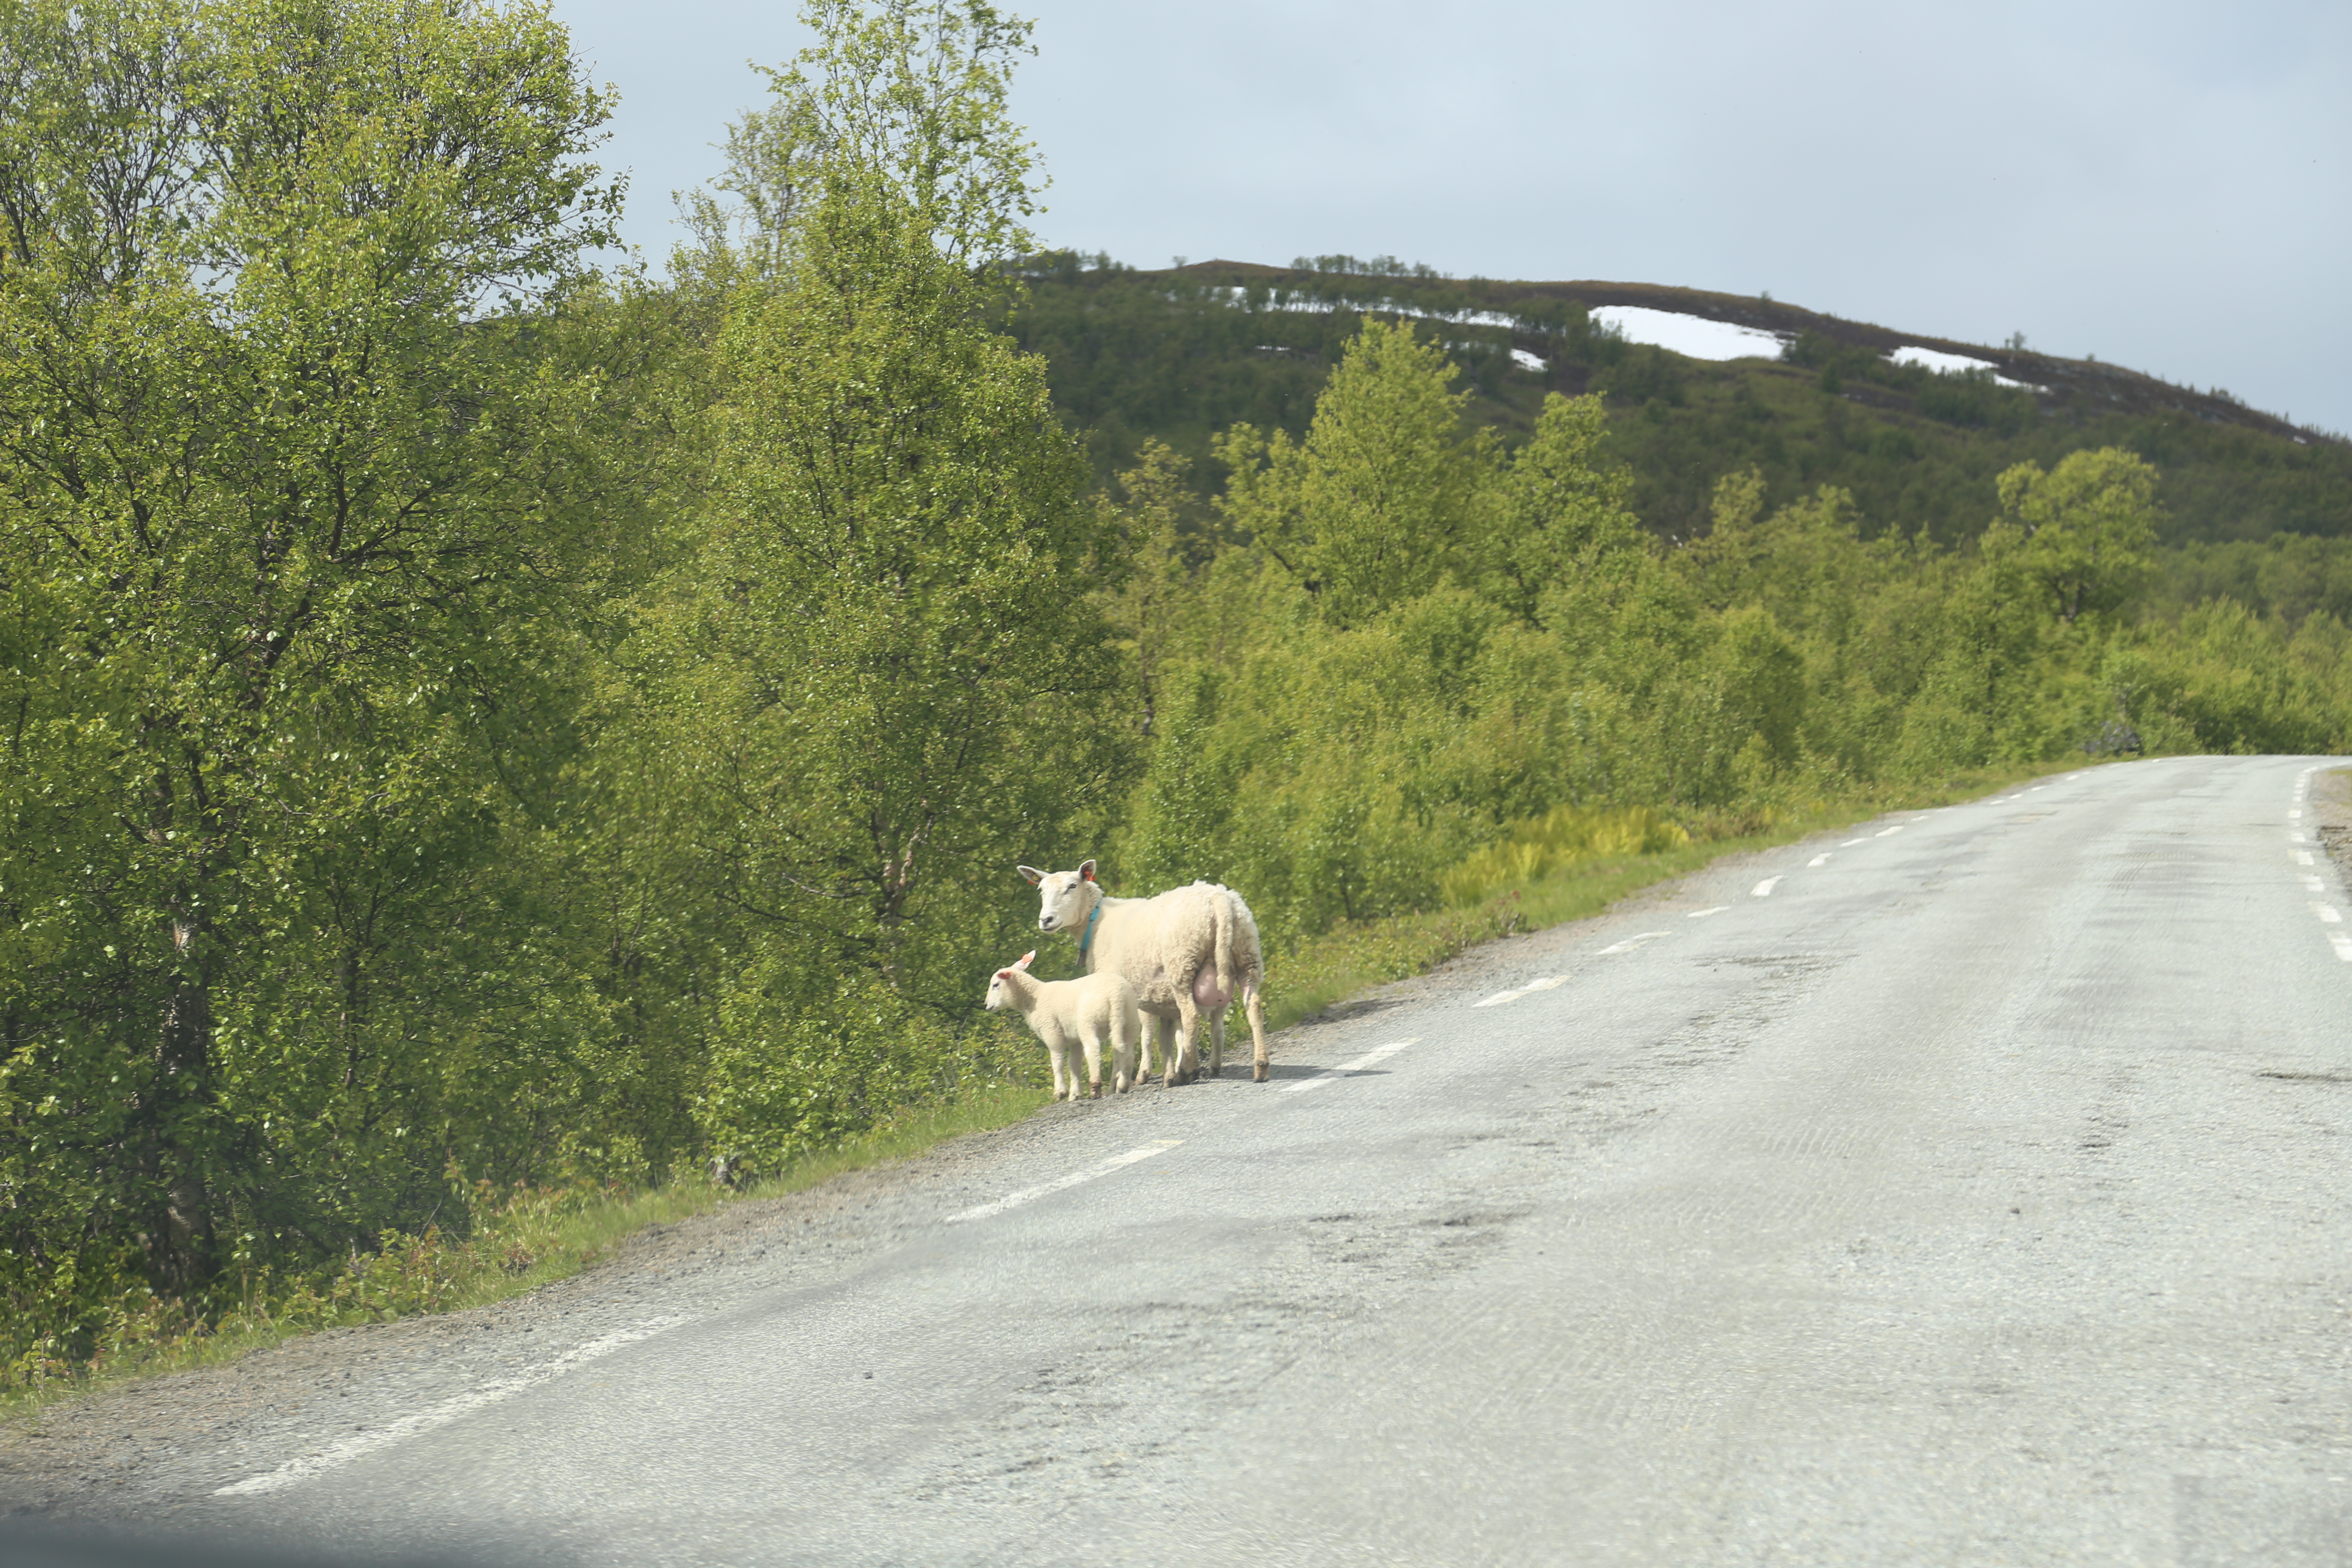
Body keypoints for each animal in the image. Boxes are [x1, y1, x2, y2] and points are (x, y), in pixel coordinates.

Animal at [978, 945, 1143, 1105]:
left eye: (995, 985)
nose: (987, 1005)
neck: (1035, 998)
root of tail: (1116, 995)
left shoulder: (1051, 1031)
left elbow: (1057, 1060)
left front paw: (1060, 1092)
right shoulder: (1075, 1039)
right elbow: (1074, 1064)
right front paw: (1075, 1095)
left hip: (1089, 1021)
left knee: (1093, 1051)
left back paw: (1095, 1088)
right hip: (1130, 1021)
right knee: (1128, 1052)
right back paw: (1122, 1086)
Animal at [1011, 865, 1270, 1086]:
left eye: (1073, 886)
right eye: (1041, 890)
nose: (1046, 920)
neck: (1095, 923)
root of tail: (1219, 899)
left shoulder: (1132, 991)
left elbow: (1143, 1033)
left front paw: (1138, 1075)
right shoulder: (1152, 990)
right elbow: (1163, 1033)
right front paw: (1170, 1070)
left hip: (1182, 963)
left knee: (1191, 1016)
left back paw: (1188, 1071)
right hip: (1247, 956)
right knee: (1254, 1007)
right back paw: (1260, 1066)